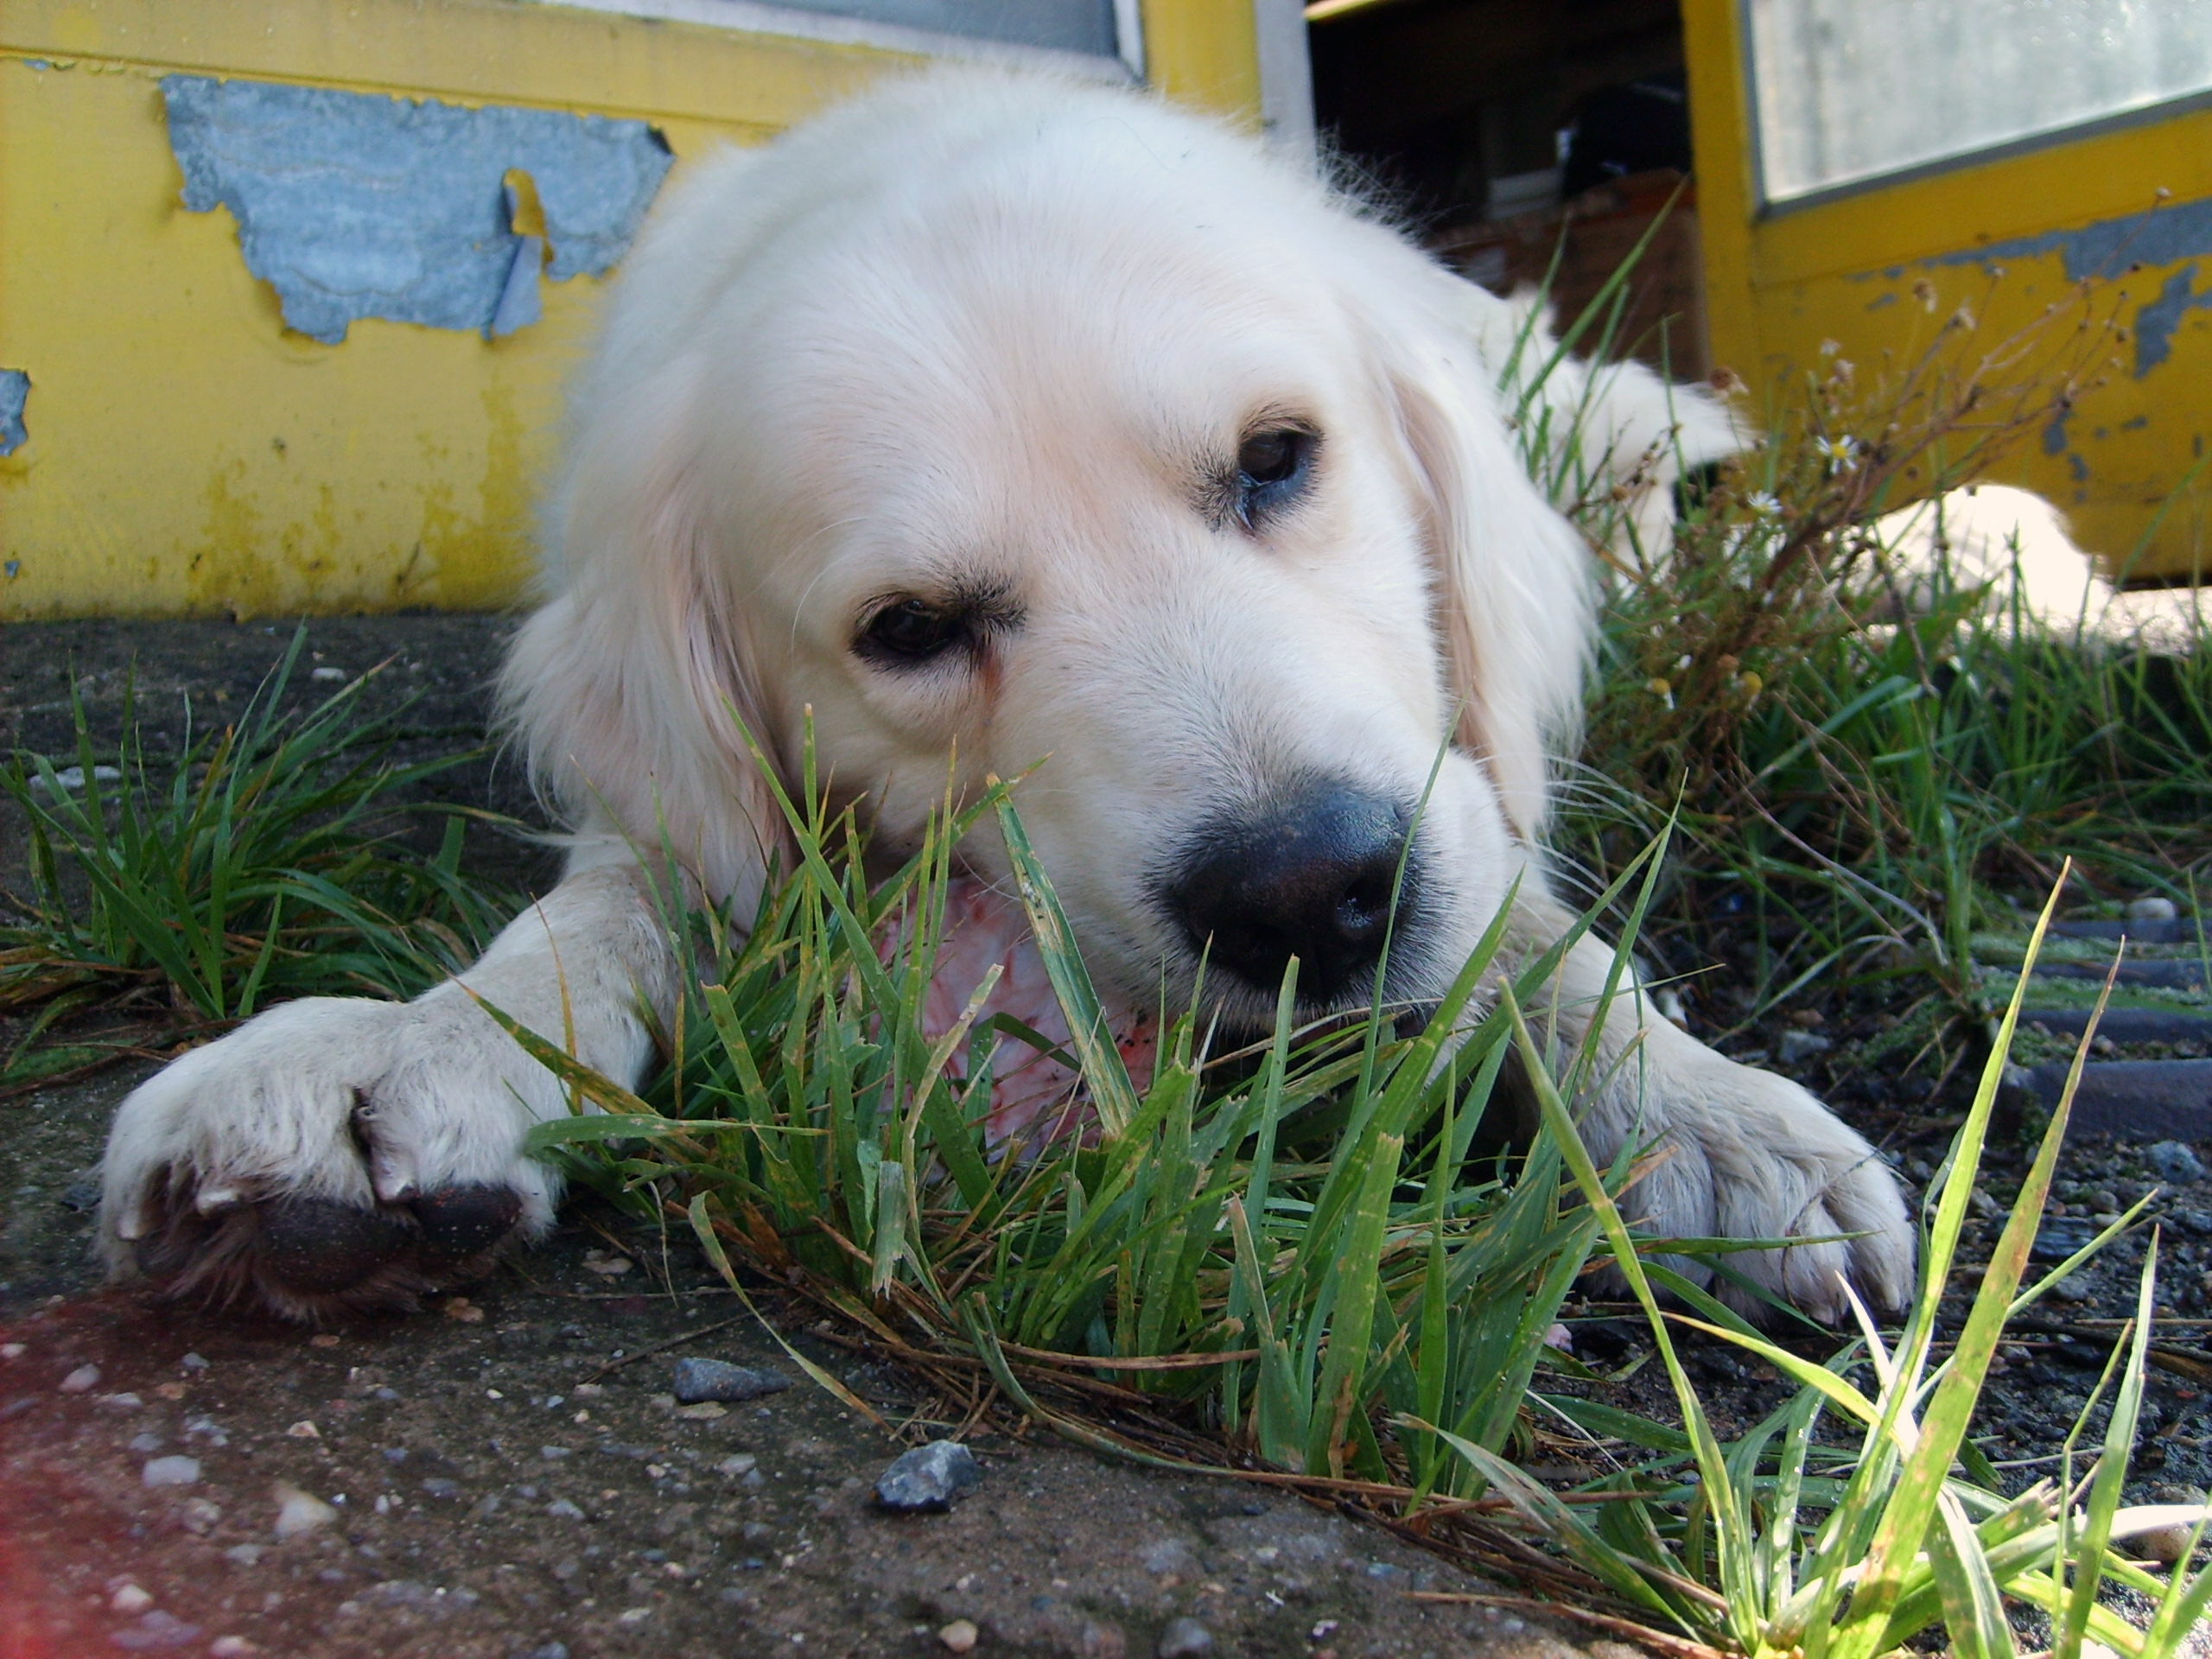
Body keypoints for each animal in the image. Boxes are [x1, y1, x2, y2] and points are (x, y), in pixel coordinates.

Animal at [99, 71, 1920, 1336]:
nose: (1307, 897)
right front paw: (419, 1047)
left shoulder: (1450, 789)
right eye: (909, 630)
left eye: (1279, 458)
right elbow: (606, 908)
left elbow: (1521, 911)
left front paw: (1693, 1104)